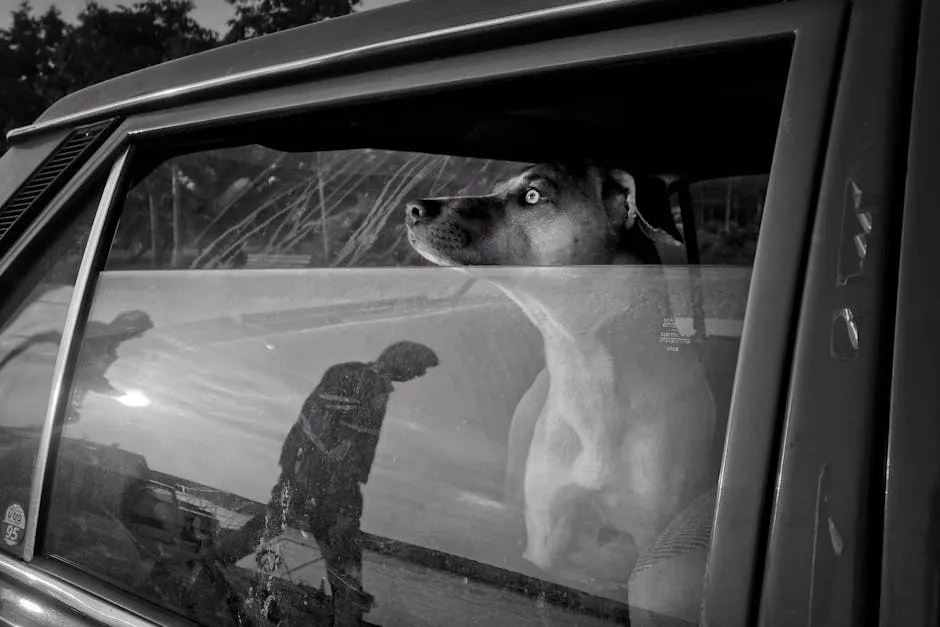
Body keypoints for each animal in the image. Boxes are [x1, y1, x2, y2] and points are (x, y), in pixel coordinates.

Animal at [404, 162, 720, 600]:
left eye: (533, 196)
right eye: (498, 187)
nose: (413, 208)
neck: (585, 366)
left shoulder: (653, 527)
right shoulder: (547, 528)